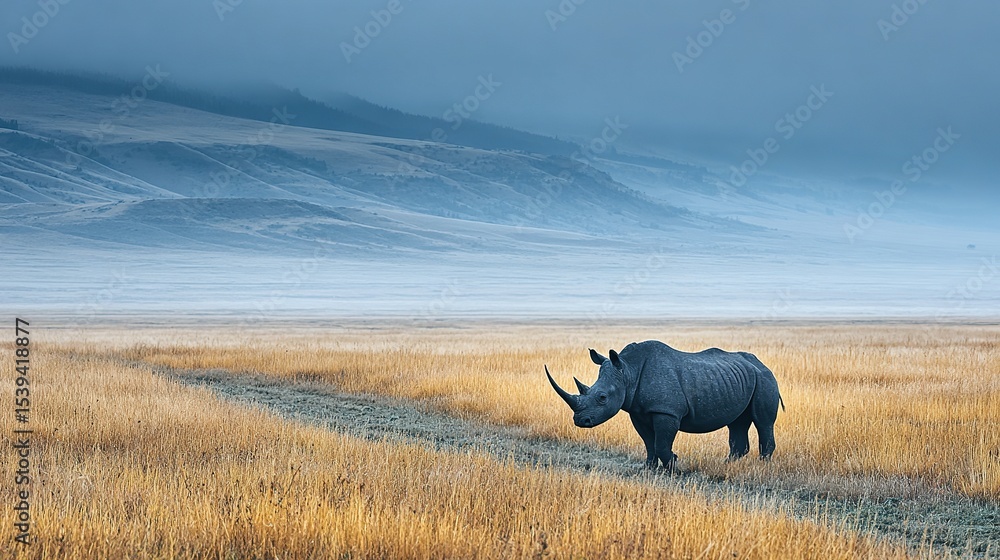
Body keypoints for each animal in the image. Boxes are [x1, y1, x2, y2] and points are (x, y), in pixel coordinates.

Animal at [546, 340, 784, 469]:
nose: (580, 420)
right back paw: (727, 465)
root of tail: (763, 364)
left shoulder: (666, 412)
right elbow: (649, 443)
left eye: (602, 397)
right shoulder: (638, 412)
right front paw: (648, 468)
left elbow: (661, 443)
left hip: (765, 379)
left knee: (763, 422)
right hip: (740, 379)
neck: (628, 371)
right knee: (737, 422)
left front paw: (674, 467)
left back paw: (762, 467)